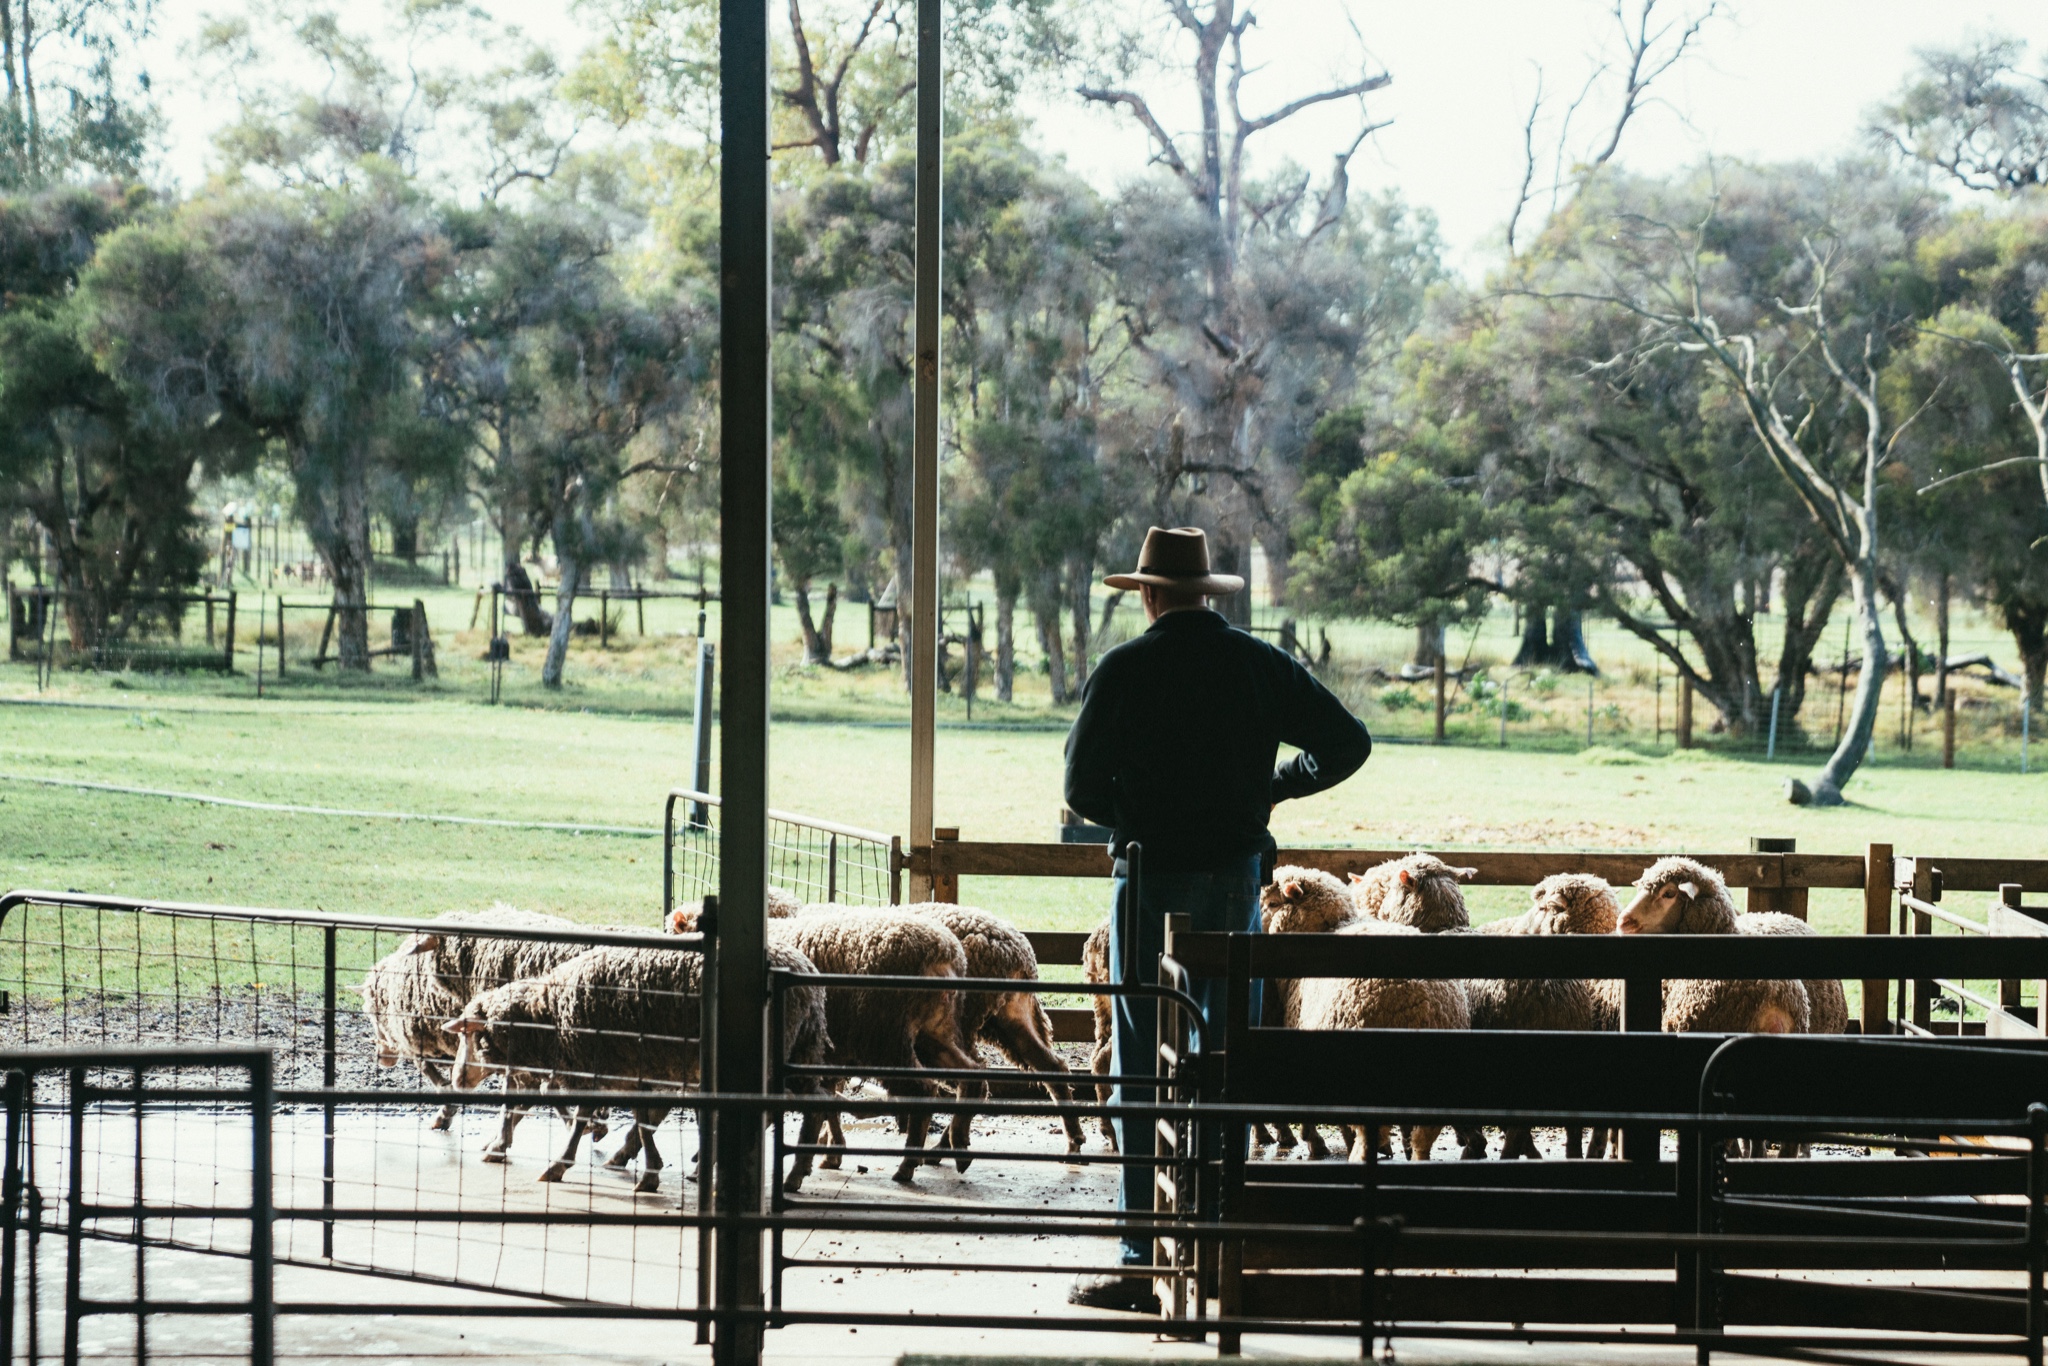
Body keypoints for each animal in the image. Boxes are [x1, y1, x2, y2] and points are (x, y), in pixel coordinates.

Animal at [446, 942, 831, 1196]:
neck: (550, 1015)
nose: (457, 1079)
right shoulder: (623, 1067)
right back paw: (791, 1173)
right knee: (819, 1101)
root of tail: (808, 975)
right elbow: (636, 1118)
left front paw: (562, 1164)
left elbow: (612, 1119)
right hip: (800, 1048)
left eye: (469, 1035)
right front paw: (647, 1170)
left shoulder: (608, 1064)